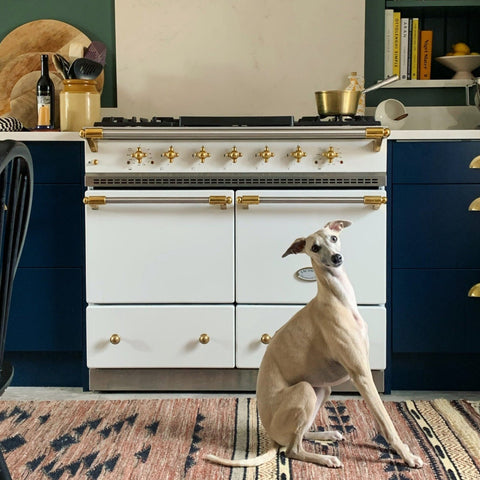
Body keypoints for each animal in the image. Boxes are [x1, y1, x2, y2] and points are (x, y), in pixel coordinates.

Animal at [206, 220, 424, 468]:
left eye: (333, 238)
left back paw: (326, 434)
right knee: (292, 449)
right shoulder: (361, 374)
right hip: (305, 390)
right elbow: (387, 421)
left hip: (322, 388)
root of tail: (272, 436)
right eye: (315, 248)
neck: (339, 299)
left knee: (298, 436)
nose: (337, 258)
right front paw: (406, 455)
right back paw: (326, 458)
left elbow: (380, 418)